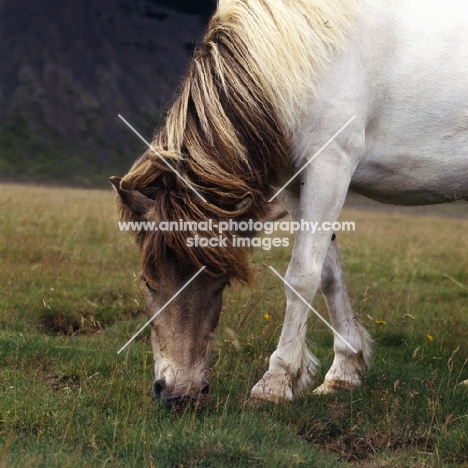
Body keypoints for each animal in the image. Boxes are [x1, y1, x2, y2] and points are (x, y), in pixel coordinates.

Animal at [111, 0, 468, 406]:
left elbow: (302, 275)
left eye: (221, 284)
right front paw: (343, 372)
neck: (310, 54)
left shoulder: (331, 166)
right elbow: (328, 274)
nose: (178, 394)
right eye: (148, 282)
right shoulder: (295, 185)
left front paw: (275, 381)